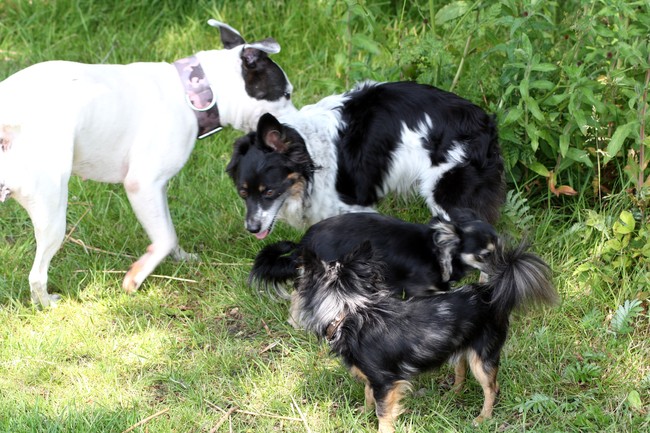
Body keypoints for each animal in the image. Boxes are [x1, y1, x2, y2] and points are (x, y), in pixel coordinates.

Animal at [0, 20, 296, 307]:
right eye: (287, 94)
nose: (291, 129)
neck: (192, 93)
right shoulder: (141, 184)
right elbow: (165, 238)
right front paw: (138, 275)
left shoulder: (156, 190)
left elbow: (168, 231)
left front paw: (181, 258)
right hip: (52, 211)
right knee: (37, 274)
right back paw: (47, 303)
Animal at [226, 81, 505, 240]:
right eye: (243, 193)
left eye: (269, 192)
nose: (251, 228)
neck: (310, 151)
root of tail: (485, 122)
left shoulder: (354, 207)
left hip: (445, 193)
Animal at [291, 241, 558, 433]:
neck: (350, 312)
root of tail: (489, 292)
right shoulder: (373, 378)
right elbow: (368, 397)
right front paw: (361, 415)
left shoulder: (386, 383)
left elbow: (383, 413)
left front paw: (378, 427)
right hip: (460, 349)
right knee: (461, 372)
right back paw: (453, 395)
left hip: (482, 359)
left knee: (492, 388)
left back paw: (483, 418)